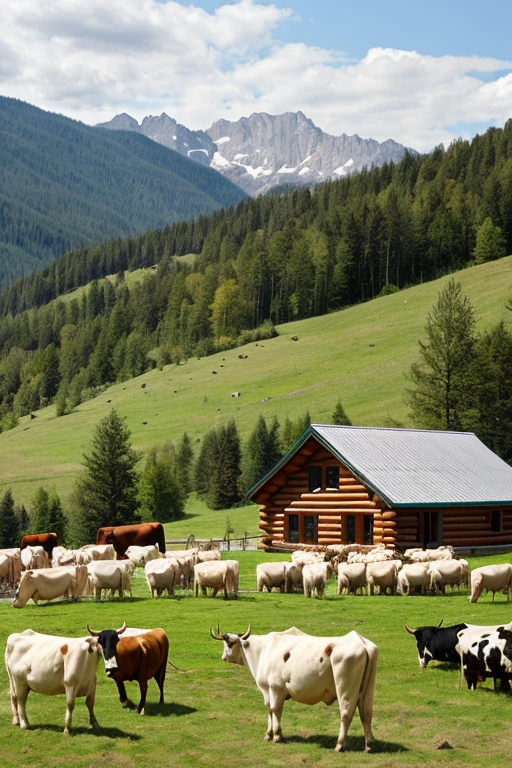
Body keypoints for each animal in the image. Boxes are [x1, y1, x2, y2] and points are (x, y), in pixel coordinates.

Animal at [210, 624, 378, 752]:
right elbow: (270, 709)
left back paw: (339, 745)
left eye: (229, 643)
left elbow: (275, 709)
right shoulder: (267, 690)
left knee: (346, 714)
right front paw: (269, 734)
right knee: (366, 713)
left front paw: (277, 736)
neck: (264, 650)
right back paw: (369, 745)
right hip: (367, 690)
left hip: (345, 689)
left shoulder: (275, 688)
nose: (223, 657)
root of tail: (361, 642)